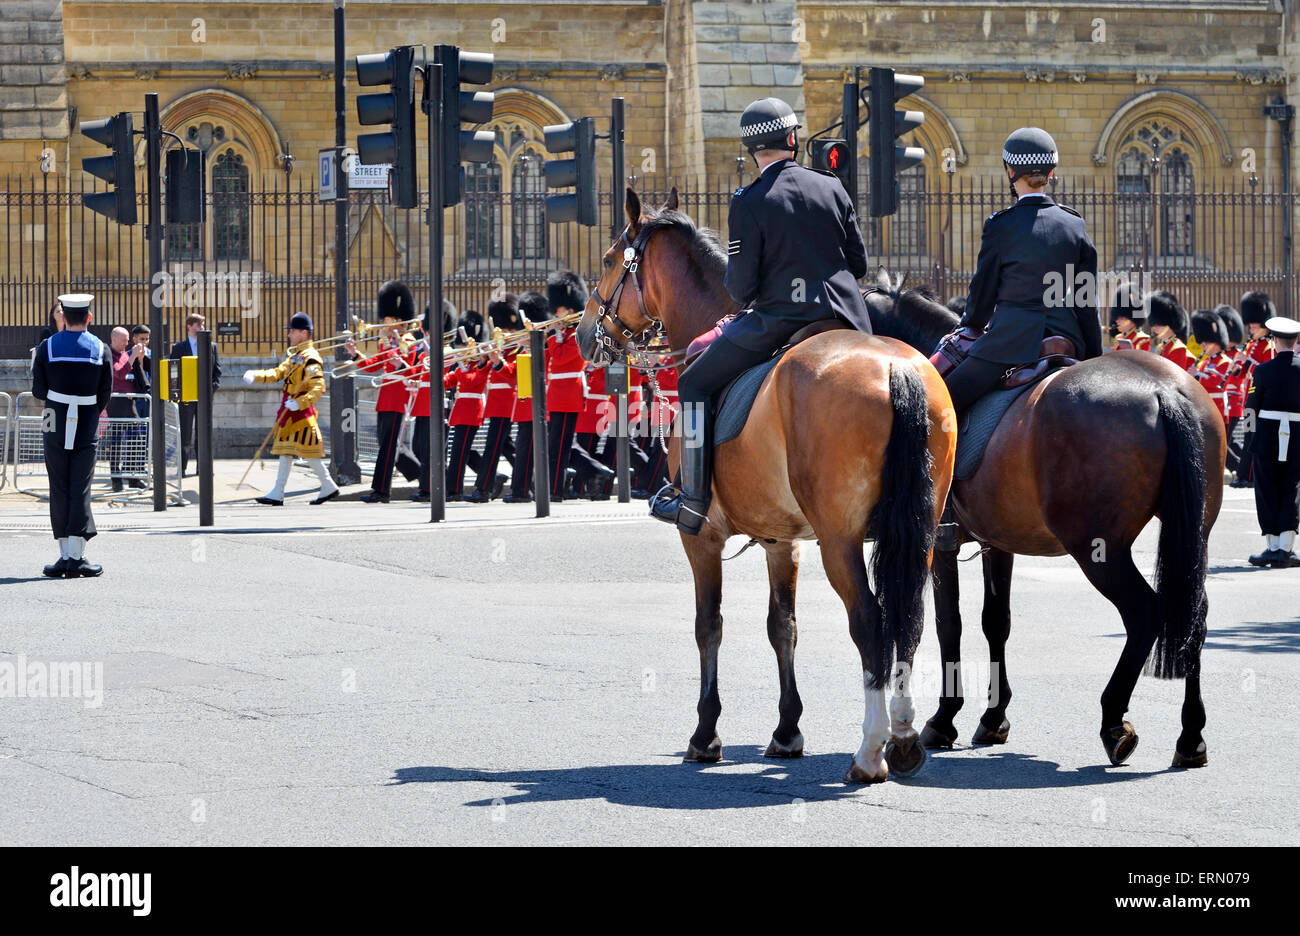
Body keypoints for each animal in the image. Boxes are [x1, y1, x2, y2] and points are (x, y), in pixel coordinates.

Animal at [577, 189, 956, 780]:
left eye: (610, 259)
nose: (582, 333)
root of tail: (897, 369)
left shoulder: (702, 537)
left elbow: (708, 624)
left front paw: (706, 734)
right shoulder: (783, 541)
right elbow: (784, 627)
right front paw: (786, 730)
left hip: (841, 541)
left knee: (871, 621)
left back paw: (870, 751)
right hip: (921, 533)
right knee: (910, 619)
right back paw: (903, 737)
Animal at [868, 282, 1222, 769]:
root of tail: (1163, 390)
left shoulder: (939, 542)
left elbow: (948, 623)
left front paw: (944, 718)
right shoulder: (998, 542)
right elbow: (995, 621)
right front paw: (993, 716)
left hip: (1099, 549)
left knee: (1144, 614)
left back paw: (1114, 721)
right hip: (1194, 536)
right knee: (1194, 617)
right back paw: (1191, 736)